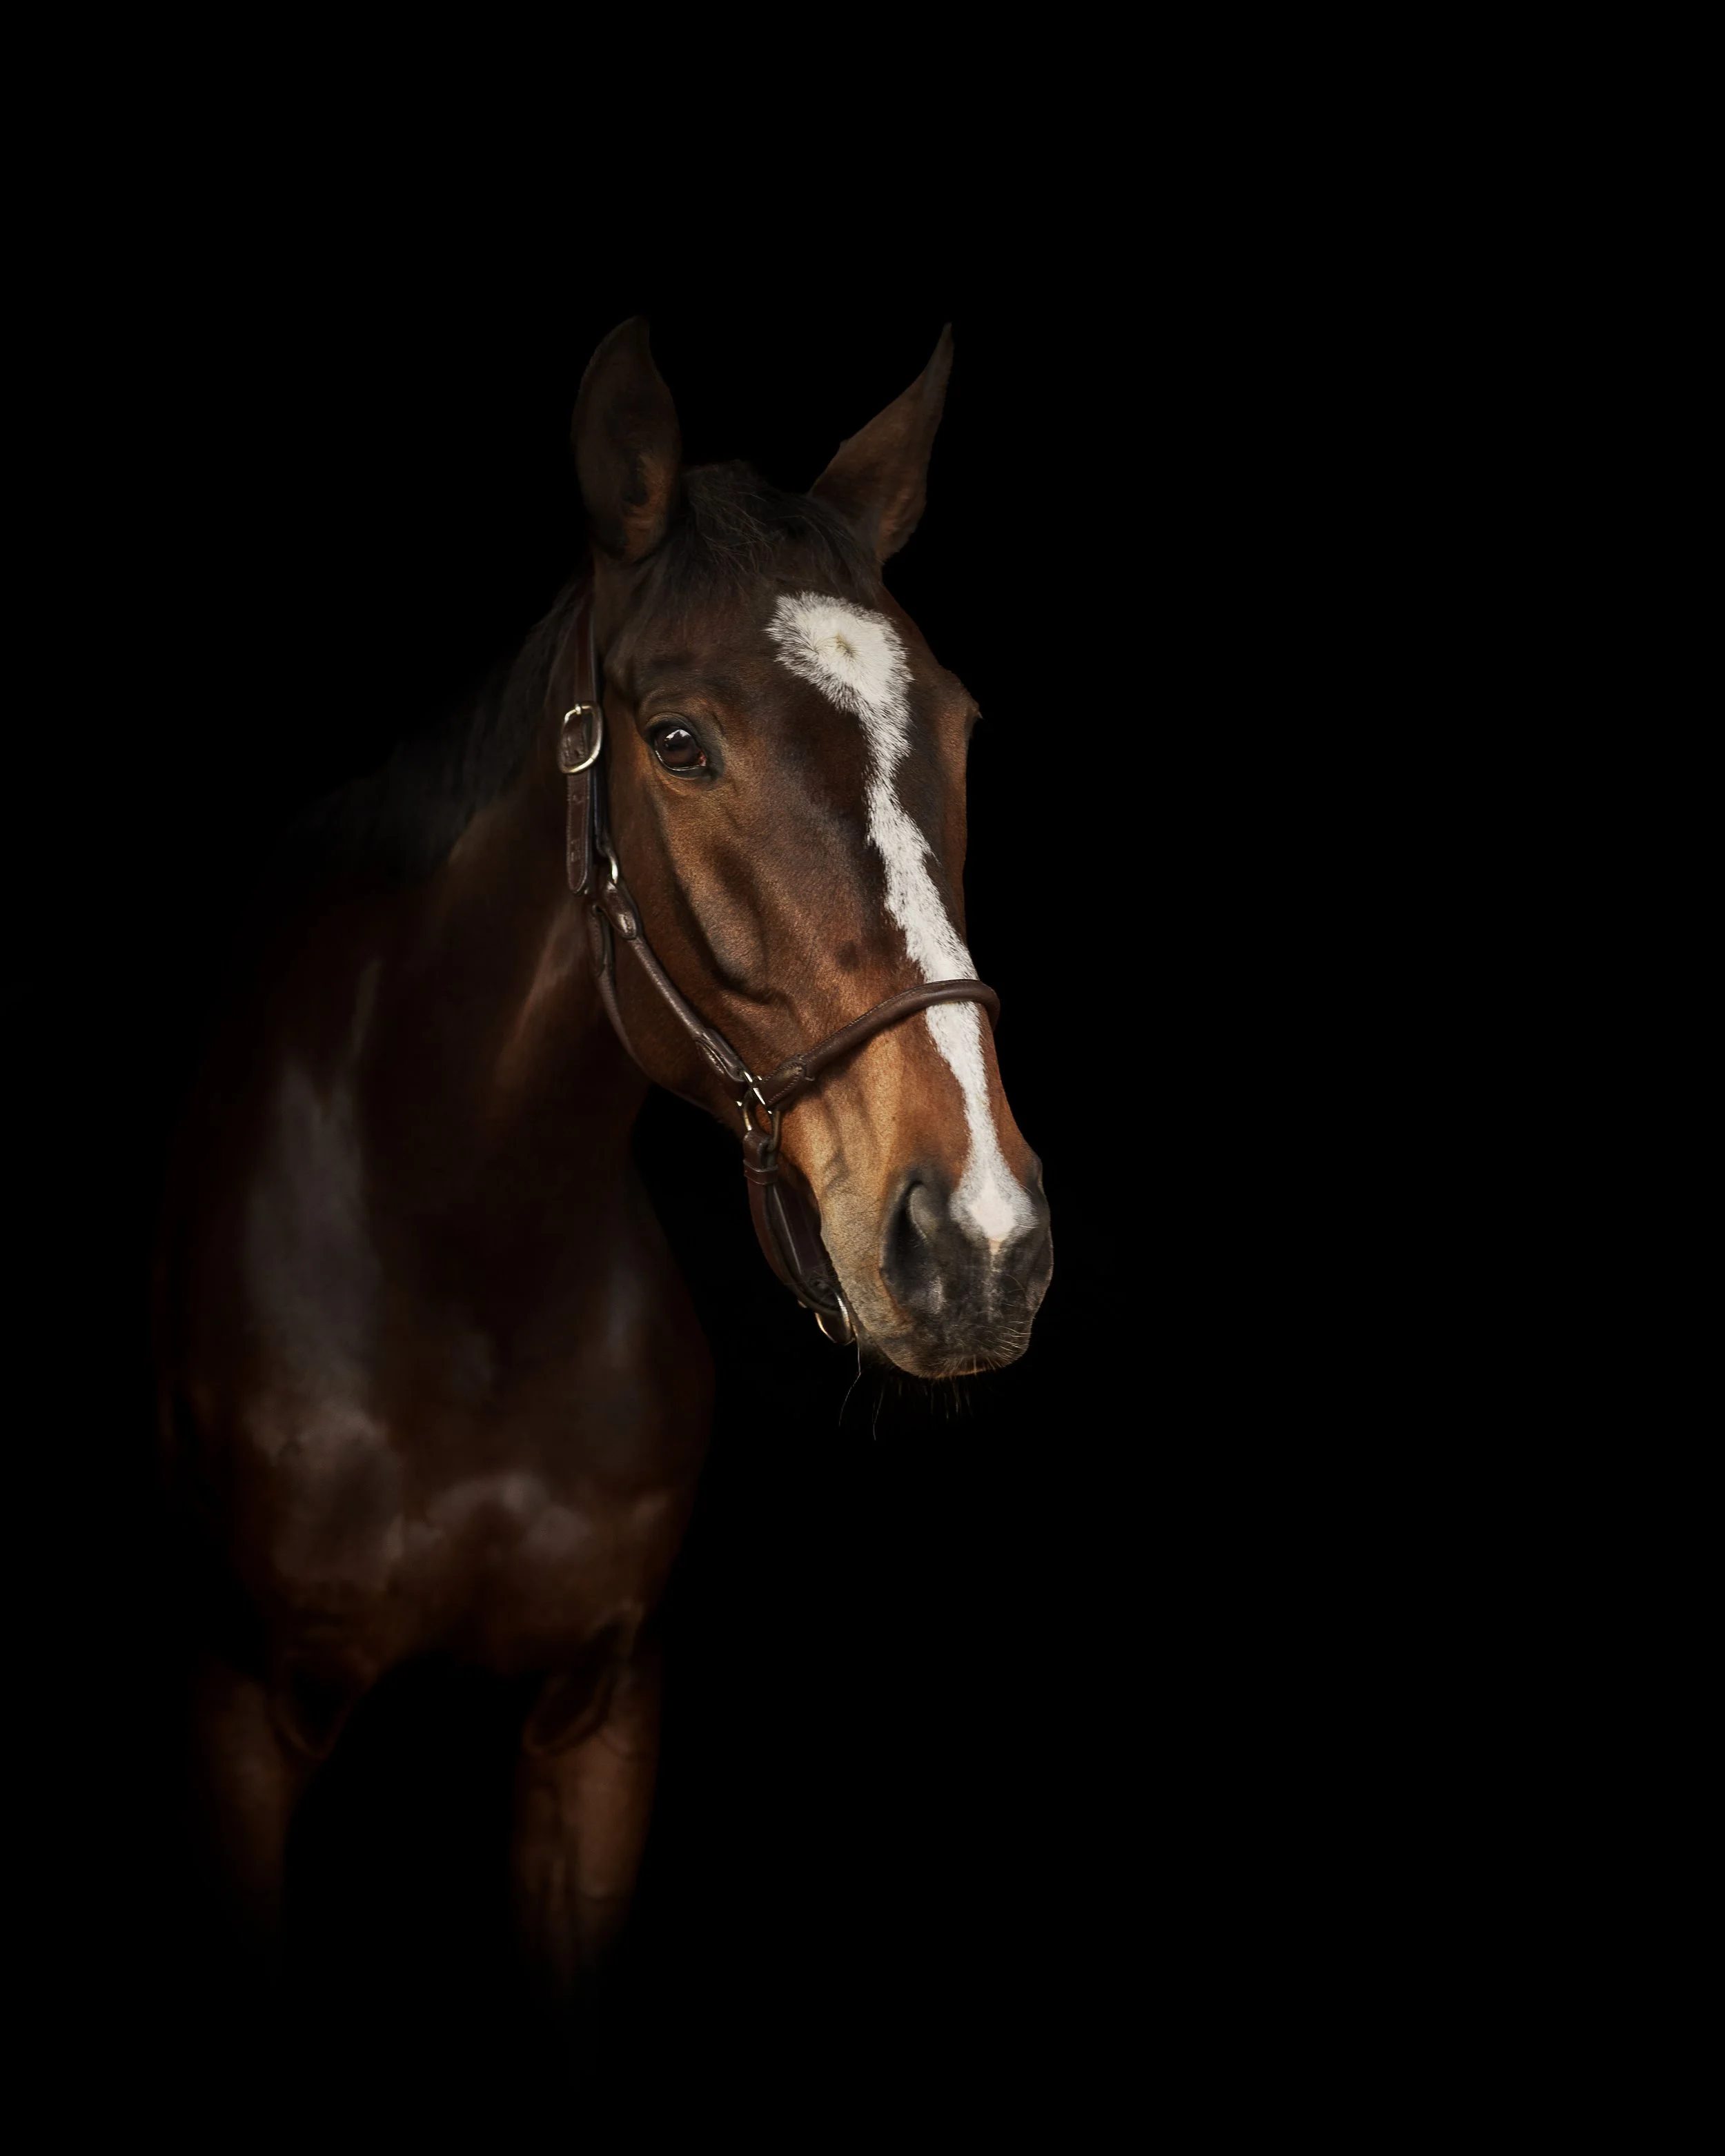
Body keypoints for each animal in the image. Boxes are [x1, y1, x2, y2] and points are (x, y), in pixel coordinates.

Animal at [152, 318, 1054, 2013]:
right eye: (680, 741)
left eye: (962, 727)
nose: (977, 1239)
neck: (462, 1259)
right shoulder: (240, 1715)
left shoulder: (602, 1715)